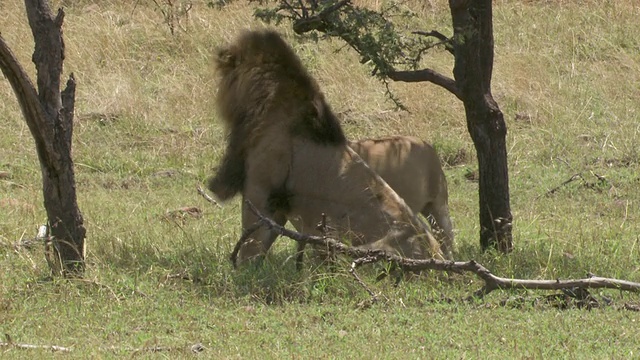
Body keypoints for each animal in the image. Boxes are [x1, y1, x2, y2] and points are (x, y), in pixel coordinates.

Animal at [210, 30, 444, 264]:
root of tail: (438, 260)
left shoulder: (261, 189)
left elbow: (250, 244)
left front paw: (242, 269)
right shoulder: (278, 206)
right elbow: (264, 242)